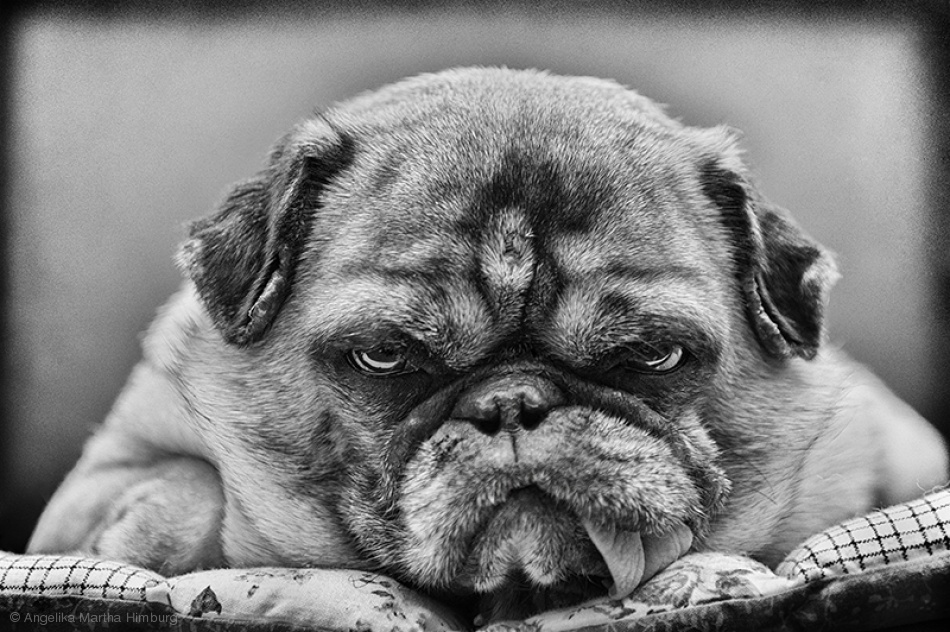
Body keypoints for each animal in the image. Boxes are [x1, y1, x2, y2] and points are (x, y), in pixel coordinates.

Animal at [28, 68, 948, 621]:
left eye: (650, 357)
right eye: (385, 357)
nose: (513, 401)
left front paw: (705, 576)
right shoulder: (97, 483)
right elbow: (185, 488)